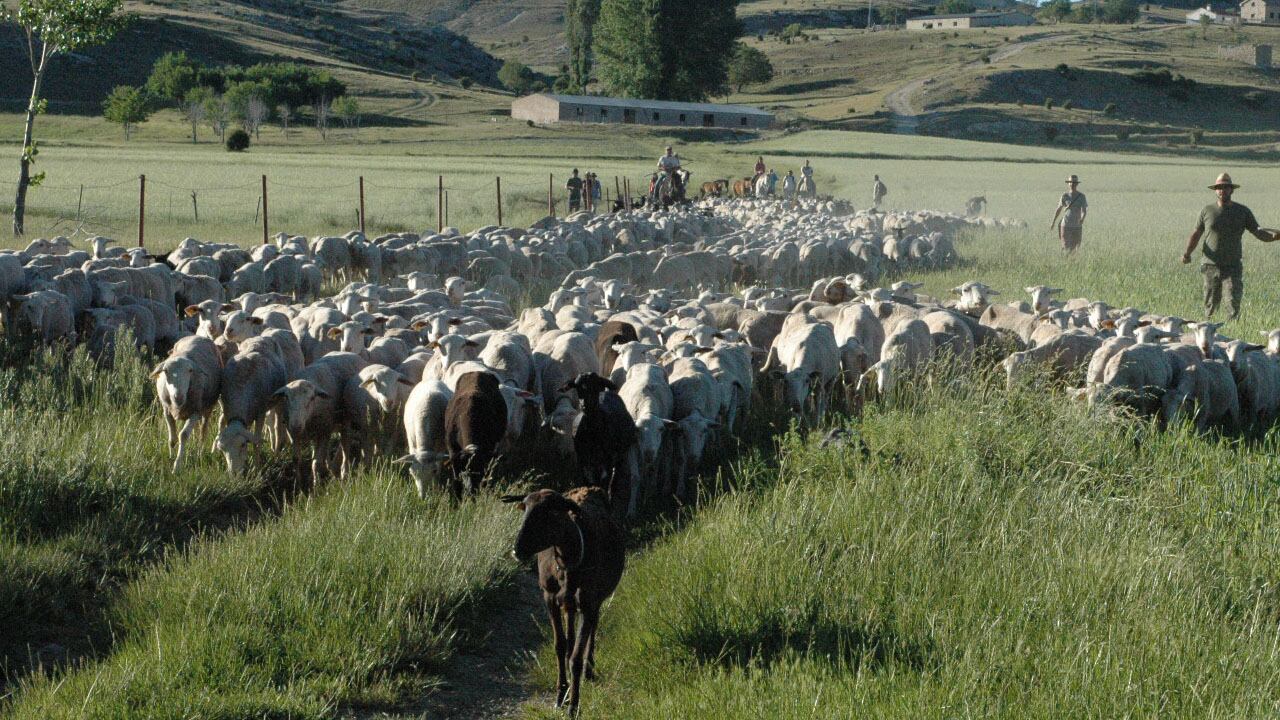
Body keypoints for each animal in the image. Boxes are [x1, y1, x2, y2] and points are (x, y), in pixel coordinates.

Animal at [501, 484, 622, 712]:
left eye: (551, 512)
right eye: (525, 508)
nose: (517, 549)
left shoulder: (589, 602)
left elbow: (576, 657)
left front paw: (573, 705)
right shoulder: (549, 598)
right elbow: (560, 646)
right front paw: (560, 695)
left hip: (593, 600)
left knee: (592, 630)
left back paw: (589, 671)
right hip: (568, 604)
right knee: (570, 637)